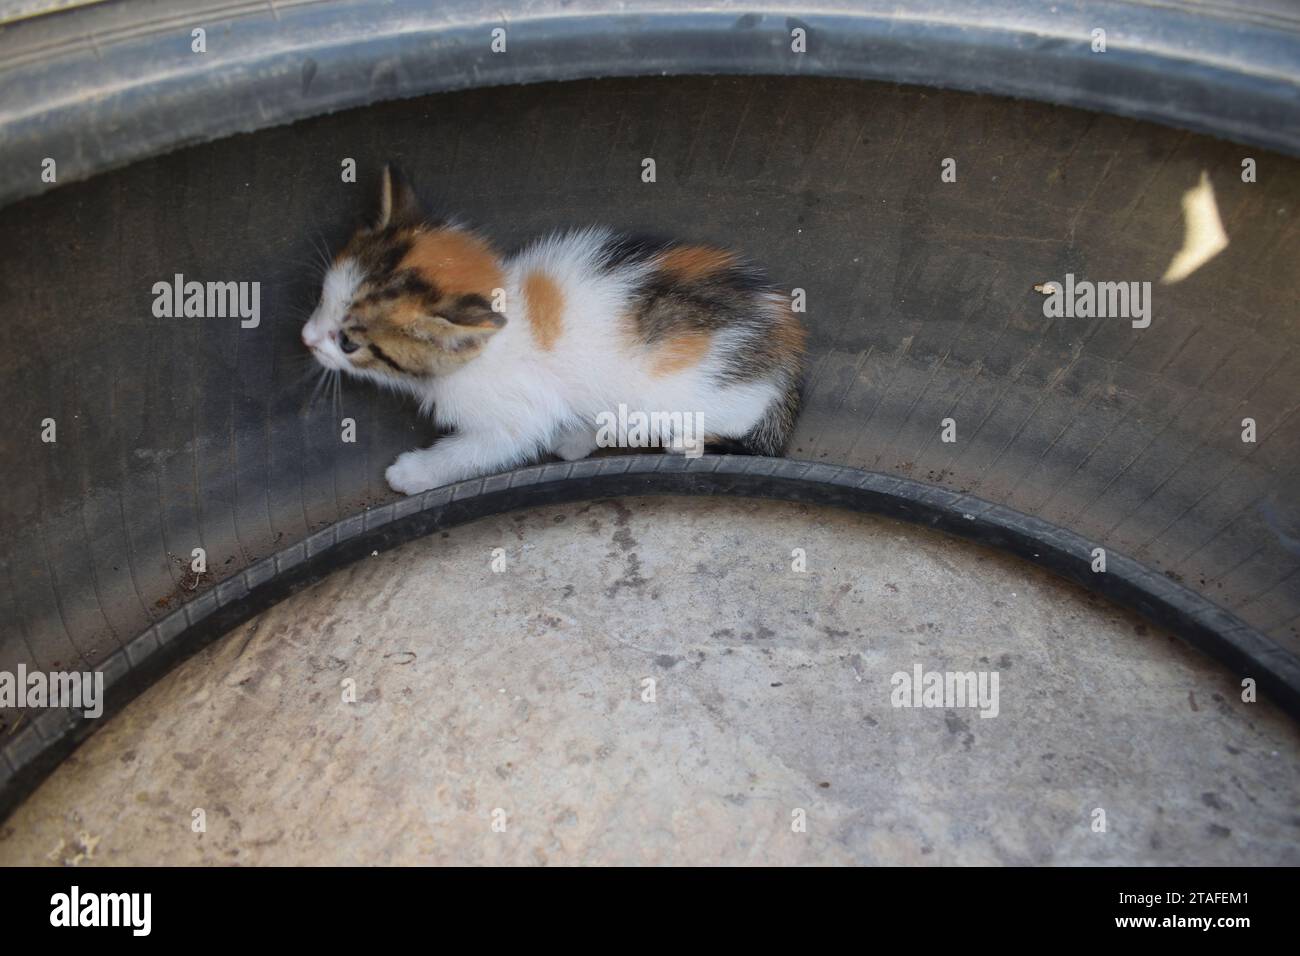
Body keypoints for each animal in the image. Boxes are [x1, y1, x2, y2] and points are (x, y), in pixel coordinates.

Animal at [305, 165, 806, 496]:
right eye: (322, 298)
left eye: (348, 342)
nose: (306, 339)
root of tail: (784, 342)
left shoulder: (515, 415)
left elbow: (479, 450)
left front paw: (414, 474)